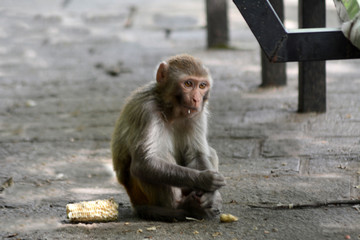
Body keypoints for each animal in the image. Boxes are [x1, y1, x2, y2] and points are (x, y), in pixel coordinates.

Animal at [111, 54, 226, 221]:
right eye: (188, 83)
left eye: (202, 86)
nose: (196, 99)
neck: (170, 109)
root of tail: (135, 204)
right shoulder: (146, 111)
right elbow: (143, 164)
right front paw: (205, 180)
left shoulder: (197, 114)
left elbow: (197, 155)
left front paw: (211, 195)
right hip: (139, 195)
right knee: (159, 156)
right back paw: (183, 207)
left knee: (209, 151)